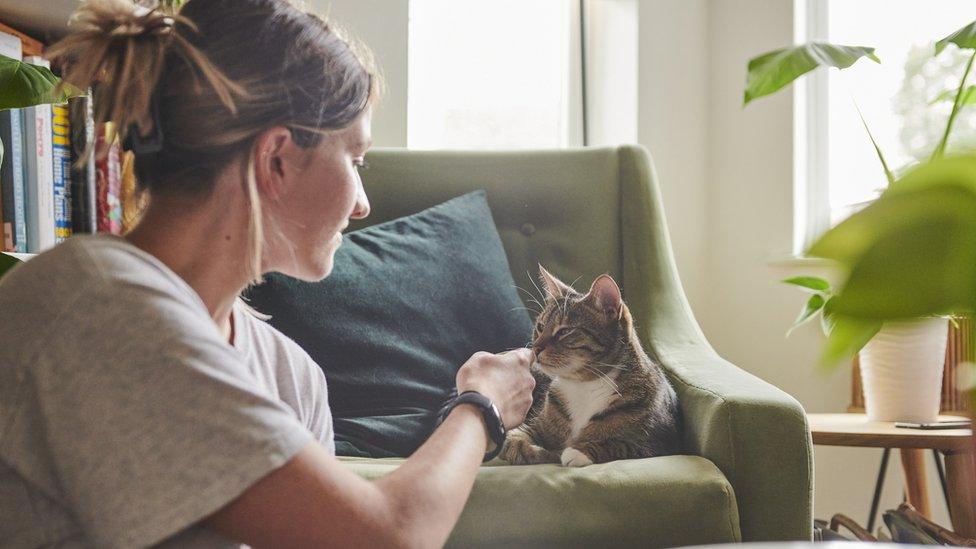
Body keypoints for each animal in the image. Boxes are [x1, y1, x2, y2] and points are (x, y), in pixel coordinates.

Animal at [500, 266, 684, 466]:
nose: (535, 348)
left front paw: (577, 452)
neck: (584, 385)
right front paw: (540, 451)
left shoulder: (659, 444)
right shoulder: (534, 425)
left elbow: (619, 445)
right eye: (540, 327)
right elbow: (515, 440)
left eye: (565, 331)